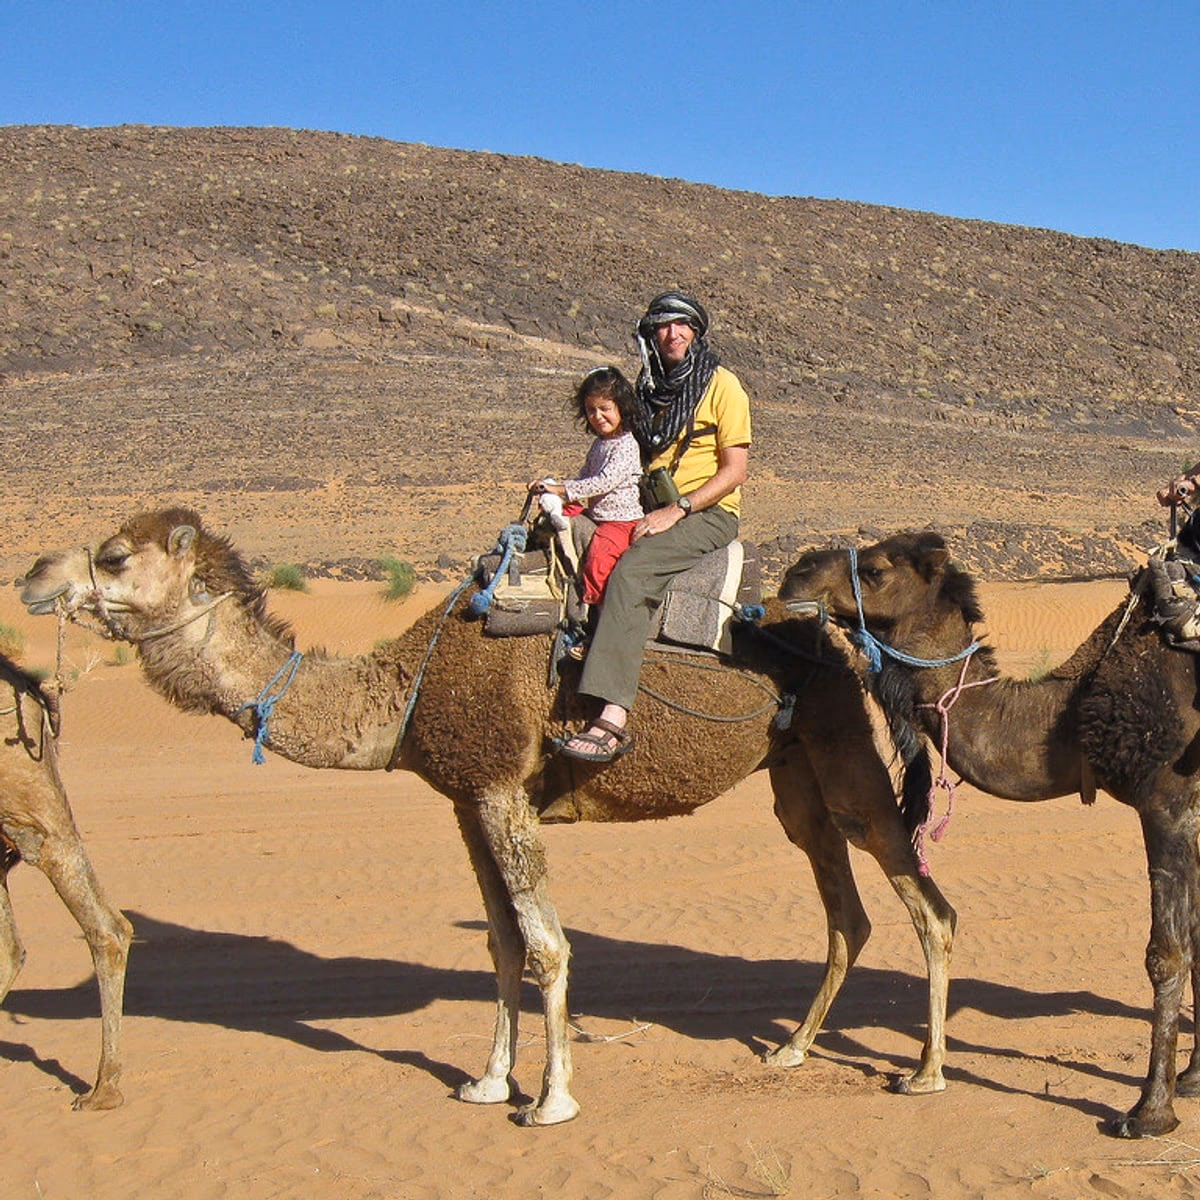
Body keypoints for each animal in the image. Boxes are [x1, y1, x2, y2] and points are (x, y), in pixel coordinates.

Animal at [19, 507, 957, 1125]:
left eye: (113, 556)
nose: (32, 575)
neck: (408, 687)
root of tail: (837, 636)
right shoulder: (467, 800)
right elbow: (503, 945)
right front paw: (485, 1081)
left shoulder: (503, 789)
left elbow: (547, 946)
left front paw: (552, 1099)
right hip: (795, 774)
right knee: (847, 909)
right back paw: (793, 1048)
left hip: (843, 751)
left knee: (927, 904)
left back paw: (926, 1073)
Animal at [780, 529, 1200, 1138]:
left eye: (878, 569)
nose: (795, 575)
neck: (1069, 712)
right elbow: (1197, 939)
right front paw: (1191, 1080)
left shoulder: (1166, 801)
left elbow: (1167, 950)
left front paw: (1149, 1112)